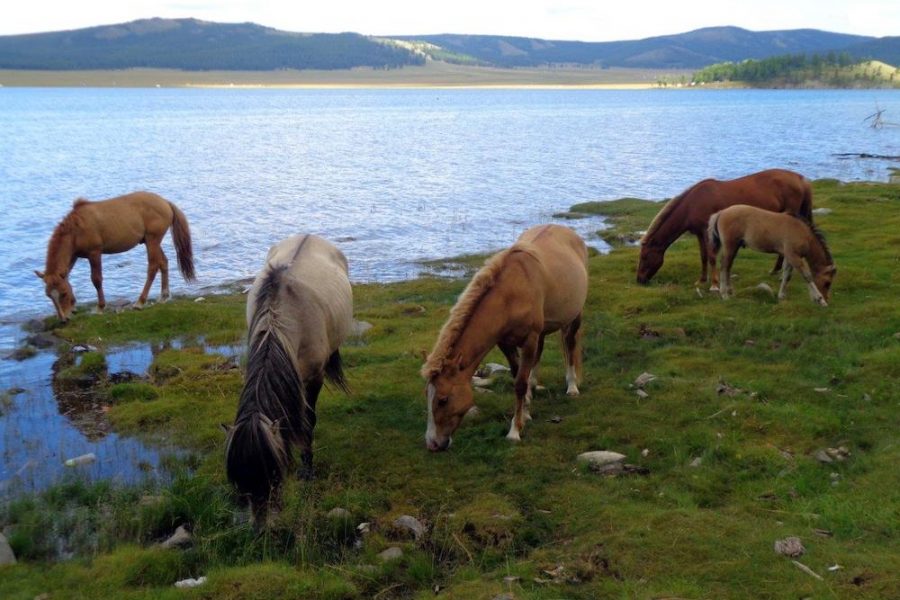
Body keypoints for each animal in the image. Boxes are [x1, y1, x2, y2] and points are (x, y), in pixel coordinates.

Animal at [37, 192, 197, 324]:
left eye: (63, 294)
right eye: (49, 296)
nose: (64, 319)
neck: (76, 230)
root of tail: (165, 202)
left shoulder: (94, 253)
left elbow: (96, 280)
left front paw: (100, 307)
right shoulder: (74, 256)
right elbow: (68, 278)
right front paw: (74, 306)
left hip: (152, 240)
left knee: (153, 266)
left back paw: (140, 302)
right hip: (151, 241)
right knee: (163, 262)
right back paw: (163, 295)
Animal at [223, 234, 354, 524]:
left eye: (273, 476)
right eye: (239, 485)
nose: (261, 528)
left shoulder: (313, 378)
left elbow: (307, 422)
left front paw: (307, 469)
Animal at [422, 225, 592, 450]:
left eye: (443, 399)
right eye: (427, 396)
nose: (432, 443)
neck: (512, 294)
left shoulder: (529, 340)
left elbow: (519, 384)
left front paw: (514, 431)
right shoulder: (505, 342)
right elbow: (517, 374)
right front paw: (526, 412)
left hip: (574, 317)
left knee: (570, 344)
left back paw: (572, 386)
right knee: (539, 354)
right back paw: (534, 384)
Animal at [632, 169, 816, 288]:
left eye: (645, 256)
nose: (639, 280)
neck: (692, 204)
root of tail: (800, 179)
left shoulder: (707, 232)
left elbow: (712, 256)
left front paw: (714, 285)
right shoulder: (700, 234)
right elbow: (704, 257)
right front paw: (702, 280)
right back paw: (776, 271)